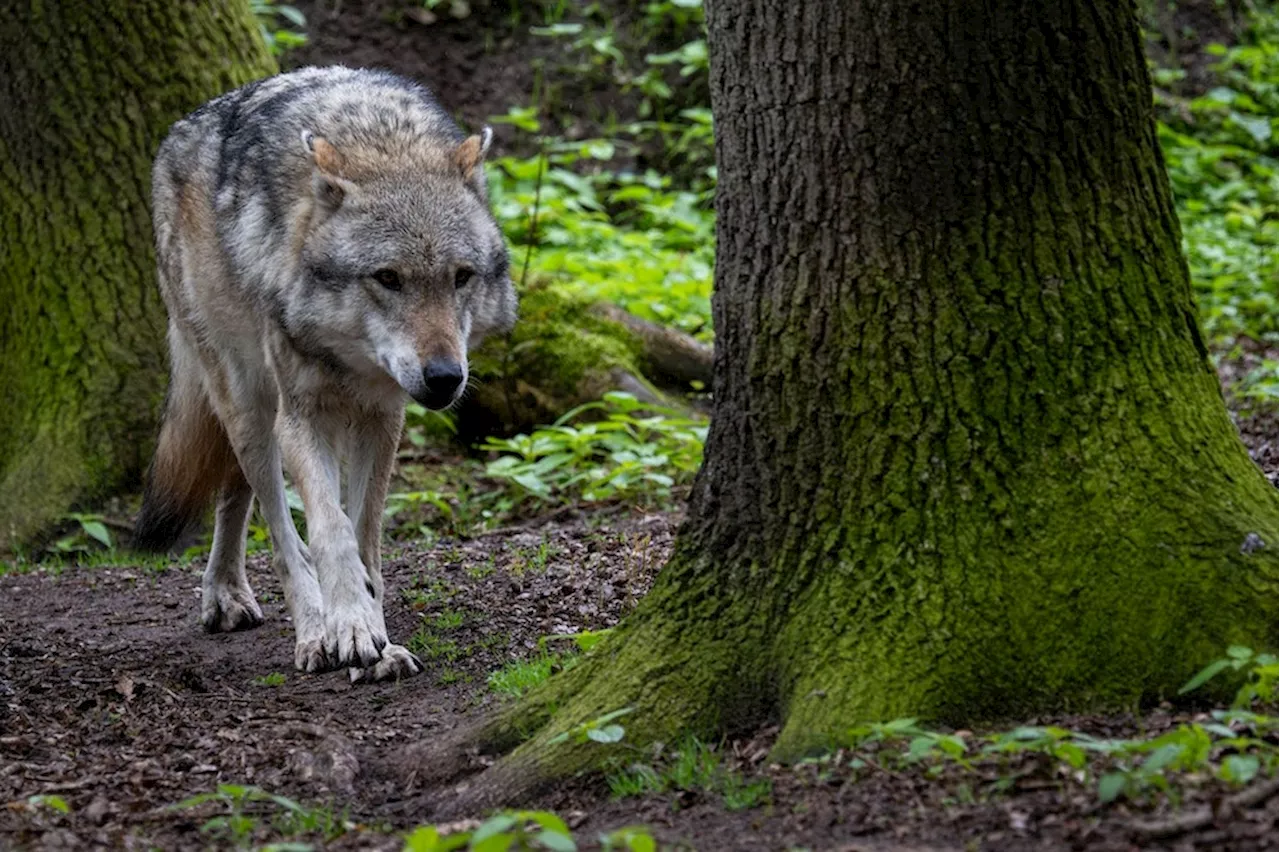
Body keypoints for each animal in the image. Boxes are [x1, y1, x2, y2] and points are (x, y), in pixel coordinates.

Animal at [137, 64, 517, 675]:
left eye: (461, 276)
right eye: (388, 278)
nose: (444, 377)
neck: (381, 143)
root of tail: (180, 130)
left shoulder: (382, 419)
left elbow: (365, 537)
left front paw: (377, 637)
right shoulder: (302, 416)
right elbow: (329, 532)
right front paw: (350, 629)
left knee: (235, 493)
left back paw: (230, 592)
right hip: (250, 407)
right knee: (277, 527)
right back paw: (309, 630)